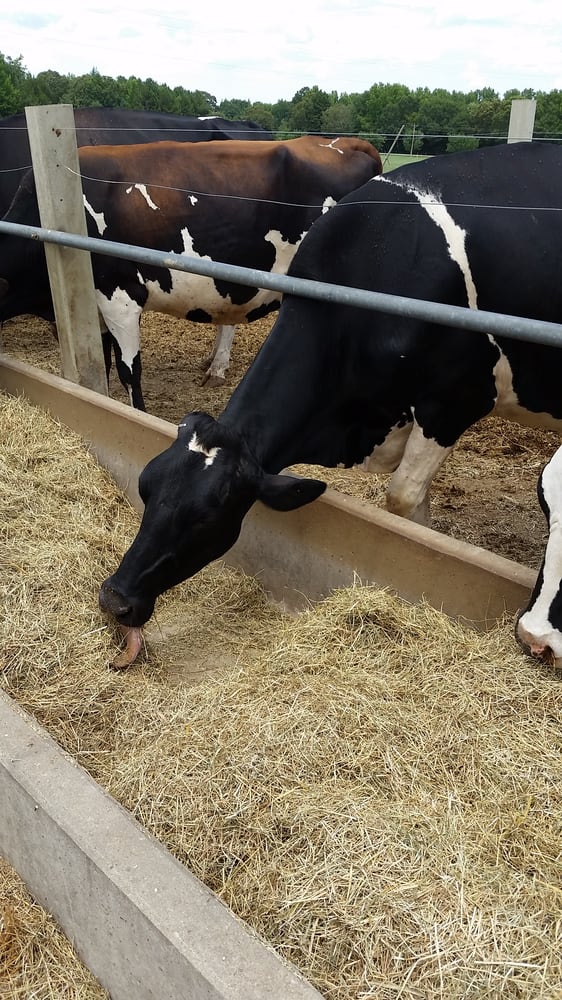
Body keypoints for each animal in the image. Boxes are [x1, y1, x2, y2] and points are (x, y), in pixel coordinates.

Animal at [0, 135, 383, 408]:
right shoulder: (96, 306)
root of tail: (349, 142)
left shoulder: (119, 295)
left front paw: (137, 413)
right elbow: (105, 364)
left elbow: (128, 370)